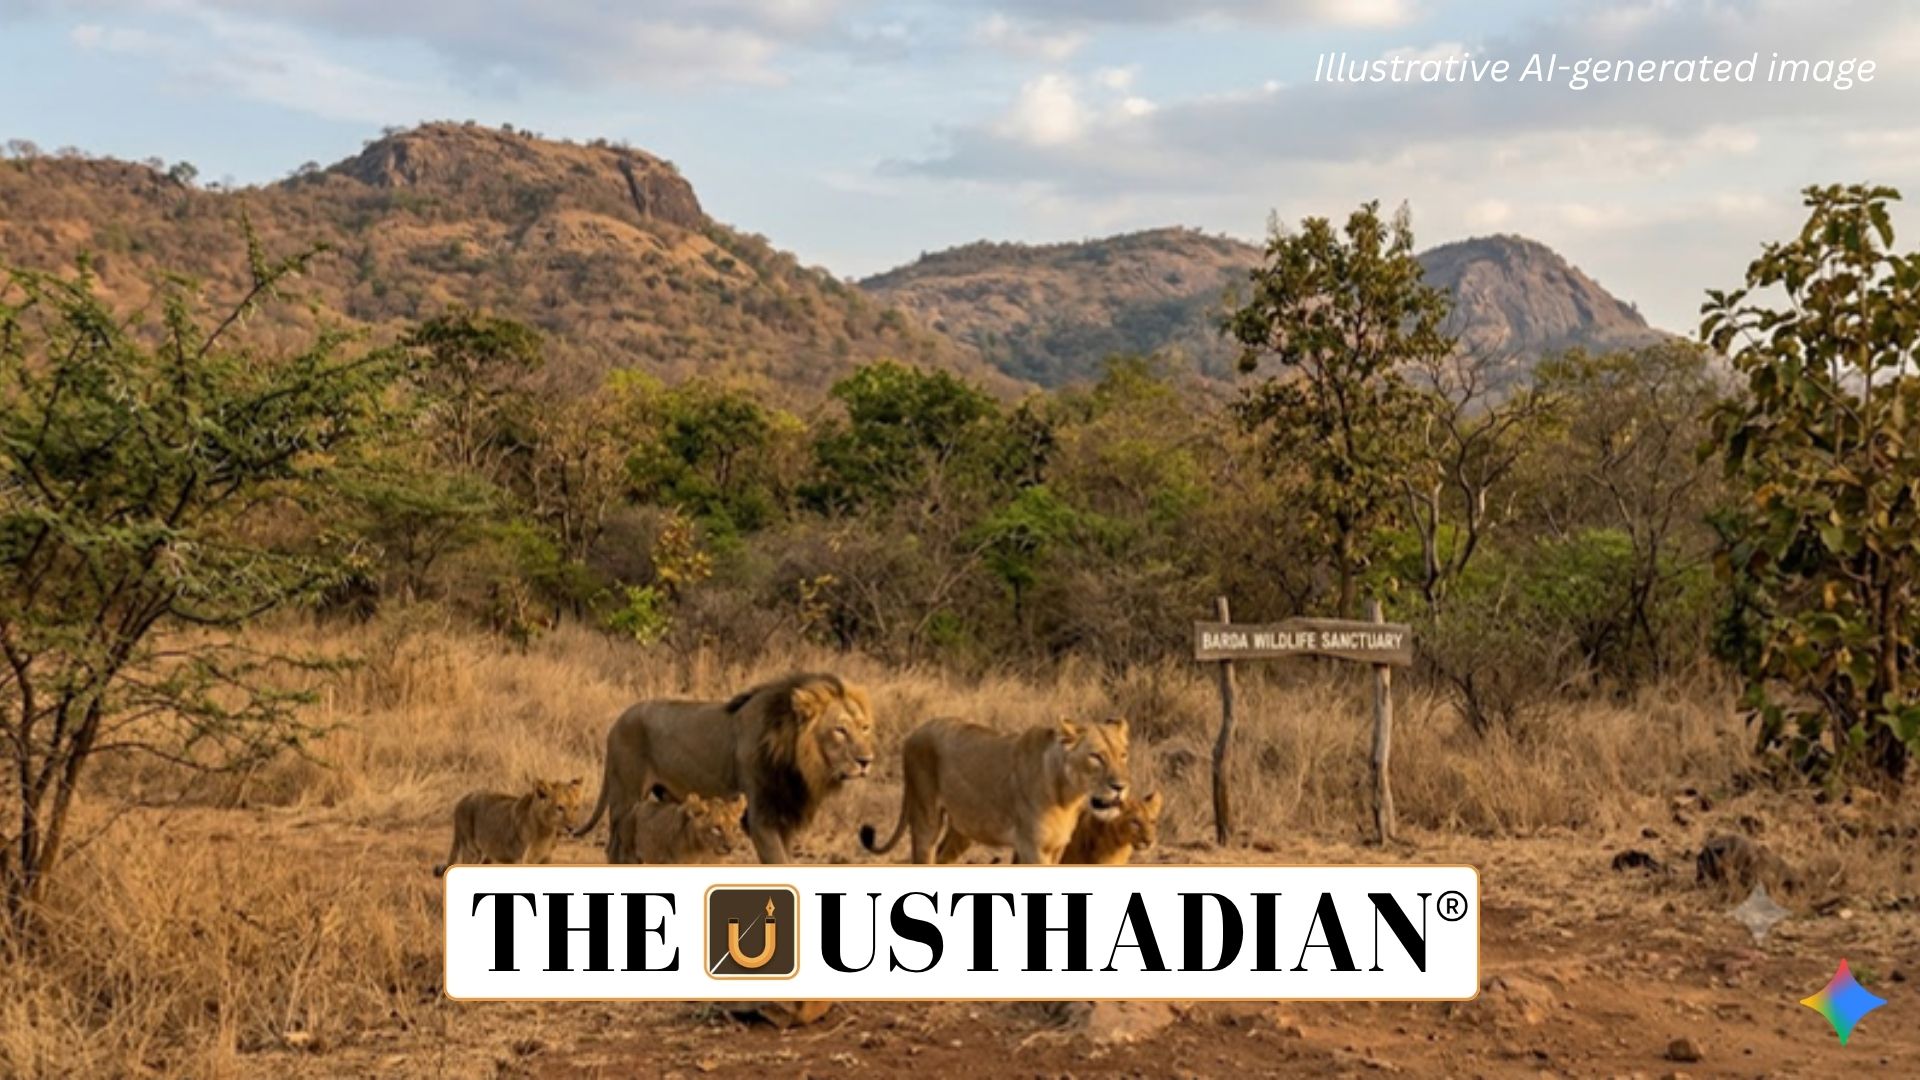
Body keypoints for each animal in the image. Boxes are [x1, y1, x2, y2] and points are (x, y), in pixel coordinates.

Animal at [433, 777, 584, 876]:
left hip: (487, 855)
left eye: (576, 808)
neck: (545, 832)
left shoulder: (546, 860)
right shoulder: (520, 860)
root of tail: (462, 800)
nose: (572, 828)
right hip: (472, 850)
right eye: (560, 808)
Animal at [861, 716, 1132, 865]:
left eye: (1123, 755)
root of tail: (914, 732)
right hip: (925, 817)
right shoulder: (1032, 848)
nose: (1121, 787)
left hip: (962, 829)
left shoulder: (1055, 849)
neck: (1067, 797)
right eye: (1096, 757)